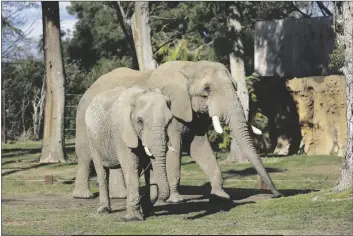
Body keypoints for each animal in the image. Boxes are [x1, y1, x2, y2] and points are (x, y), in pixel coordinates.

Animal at [73, 60, 282, 205]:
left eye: (235, 86)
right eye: (207, 89)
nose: (277, 194)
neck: (189, 67)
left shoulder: (192, 114)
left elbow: (200, 147)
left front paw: (220, 196)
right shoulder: (170, 111)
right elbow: (173, 148)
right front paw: (175, 199)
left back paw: (121, 196)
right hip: (83, 119)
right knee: (85, 156)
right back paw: (84, 196)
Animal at [85, 85, 173, 220]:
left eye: (170, 121)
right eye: (140, 121)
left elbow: (148, 168)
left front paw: (146, 210)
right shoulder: (121, 130)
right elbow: (131, 166)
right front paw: (133, 218)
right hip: (92, 139)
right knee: (102, 171)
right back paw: (104, 210)